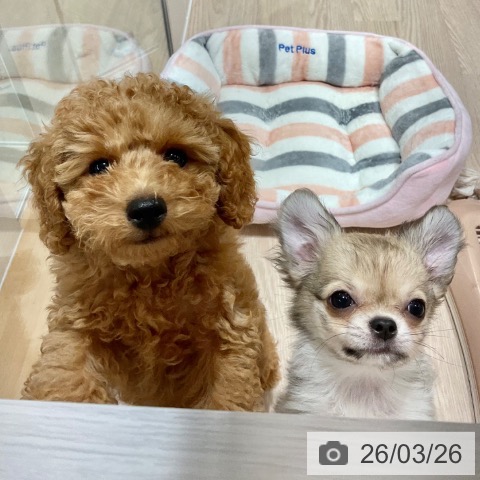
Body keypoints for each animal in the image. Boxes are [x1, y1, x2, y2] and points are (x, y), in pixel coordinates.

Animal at [20, 73, 279, 410]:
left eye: (176, 156)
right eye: (98, 166)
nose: (146, 208)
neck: (150, 275)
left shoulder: (229, 325)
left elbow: (228, 392)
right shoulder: (76, 320)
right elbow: (67, 368)